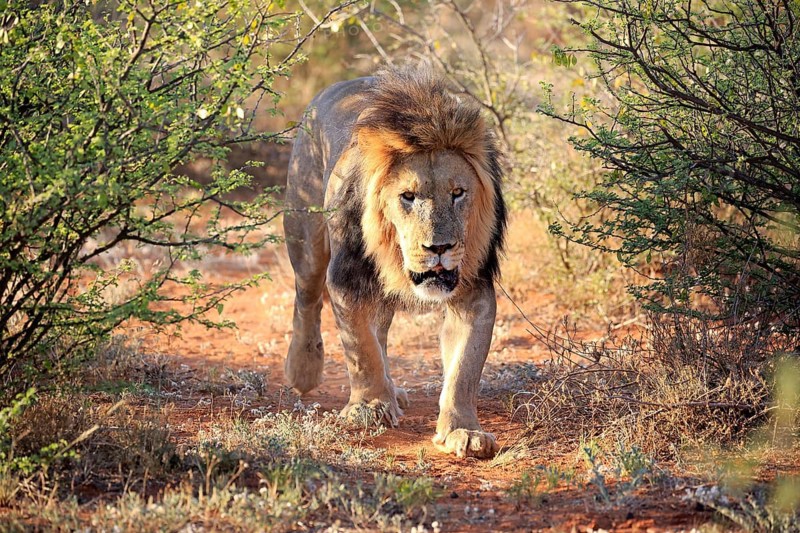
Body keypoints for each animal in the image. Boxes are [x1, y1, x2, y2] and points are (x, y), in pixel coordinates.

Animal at [282, 66, 507, 459]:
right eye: (408, 196)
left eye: (458, 193)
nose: (439, 247)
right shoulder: (347, 278)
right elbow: (361, 348)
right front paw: (369, 407)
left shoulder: (473, 289)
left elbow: (465, 367)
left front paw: (463, 430)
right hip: (305, 238)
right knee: (306, 300)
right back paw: (303, 371)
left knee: (382, 328)